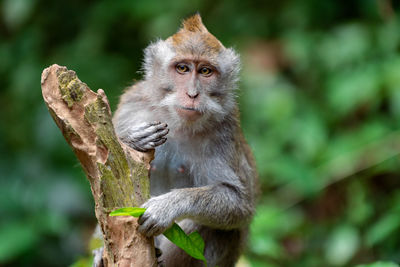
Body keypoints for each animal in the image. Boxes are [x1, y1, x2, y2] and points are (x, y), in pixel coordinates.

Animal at [103, 14, 256, 267]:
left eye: (205, 71)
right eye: (182, 68)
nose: (192, 94)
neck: (175, 120)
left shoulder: (225, 129)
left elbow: (239, 204)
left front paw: (166, 207)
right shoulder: (132, 103)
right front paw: (132, 139)